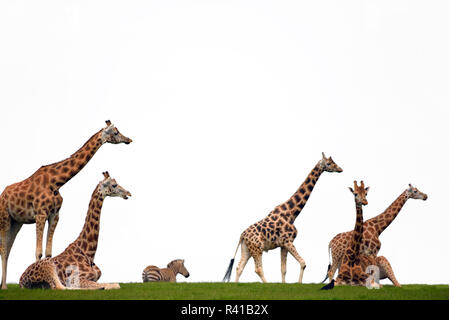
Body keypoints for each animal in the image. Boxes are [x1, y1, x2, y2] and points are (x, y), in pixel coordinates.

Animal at [0, 120, 132, 290]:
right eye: (115, 132)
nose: (129, 139)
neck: (56, 182)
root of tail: (2, 194)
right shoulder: (40, 214)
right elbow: (38, 252)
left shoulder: (55, 214)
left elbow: (48, 252)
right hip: (4, 217)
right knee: (4, 249)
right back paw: (4, 286)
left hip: (17, 222)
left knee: (9, 248)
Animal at [222, 152, 342, 282]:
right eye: (329, 163)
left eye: (334, 162)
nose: (340, 169)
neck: (292, 213)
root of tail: (242, 235)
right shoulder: (288, 241)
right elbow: (303, 263)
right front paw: (298, 284)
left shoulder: (283, 245)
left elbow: (283, 269)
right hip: (257, 248)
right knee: (258, 269)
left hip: (247, 249)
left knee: (239, 267)